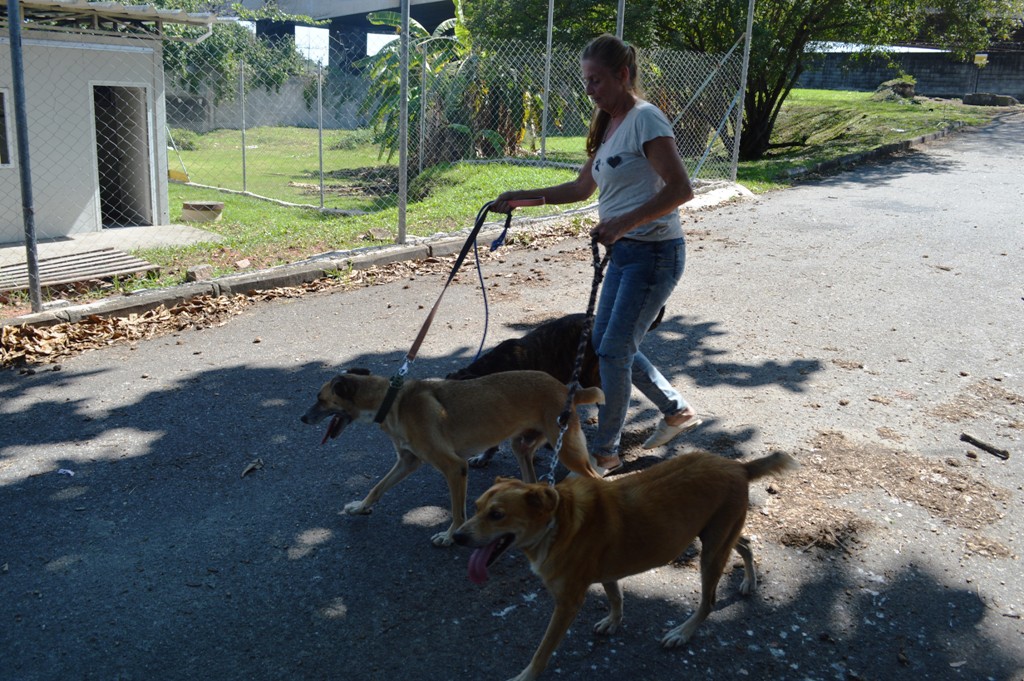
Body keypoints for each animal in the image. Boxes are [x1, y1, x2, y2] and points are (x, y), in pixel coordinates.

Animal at [299, 368, 602, 544]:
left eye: (320, 399)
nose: (301, 418)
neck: (392, 399)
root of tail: (566, 388)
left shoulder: (455, 468)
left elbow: (457, 511)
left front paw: (449, 536)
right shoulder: (407, 462)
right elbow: (377, 487)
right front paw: (360, 507)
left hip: (567, 449)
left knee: (595, 477)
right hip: (522, 444)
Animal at [452, 448, 794, 675]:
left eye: (497, 515)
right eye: (476, 506)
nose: (457, 537)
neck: (557, 522)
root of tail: (738, 466)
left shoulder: (567, 604)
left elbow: (543, 649)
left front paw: (527, 675)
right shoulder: (606, 573)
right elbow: (615, 598)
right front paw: (614, 621)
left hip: (711, 552)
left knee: (708, 601)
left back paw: (682, 633)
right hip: (718, 536)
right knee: (745, 545)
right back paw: (749, 581)